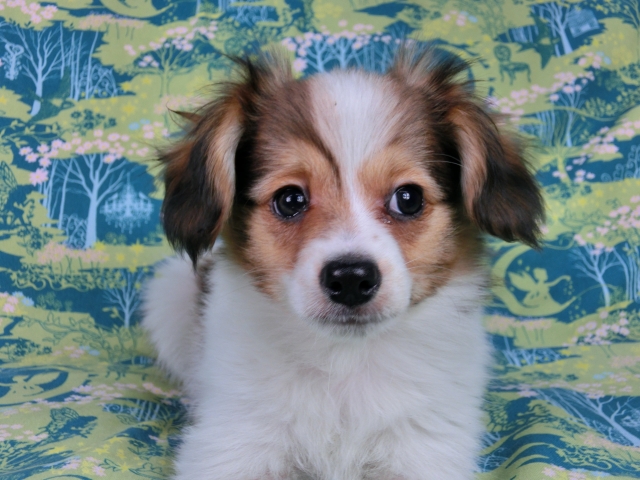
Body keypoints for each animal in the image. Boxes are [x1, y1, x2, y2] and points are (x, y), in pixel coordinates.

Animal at [142, 49, 543, 480]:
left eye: (408, 198)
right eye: (289, 199)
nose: (351, 279)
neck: (344, 362)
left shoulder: (424, 450)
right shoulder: (232, 443)